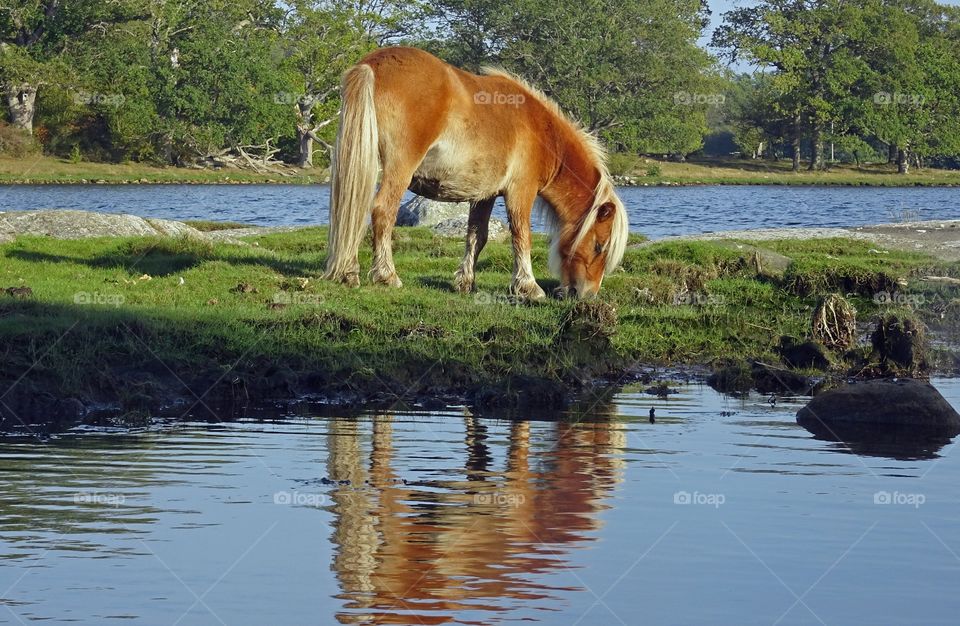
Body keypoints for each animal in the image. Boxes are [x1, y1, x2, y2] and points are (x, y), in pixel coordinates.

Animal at [323, 46, 629, 299]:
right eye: (599, 246)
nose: (587, 294)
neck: (543, 132)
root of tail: (372, 64)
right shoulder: (521, 192)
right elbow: (522, 236)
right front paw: (529, 287)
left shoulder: (485, 195)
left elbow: (476, 236)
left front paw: (466, 283)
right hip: (399, 169)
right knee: (382, 211)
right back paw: (387, 276)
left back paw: (349, 273)